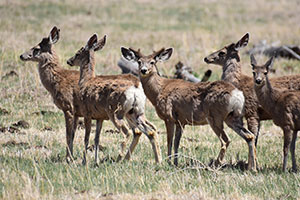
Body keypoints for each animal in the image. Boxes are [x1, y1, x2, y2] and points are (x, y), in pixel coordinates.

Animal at [19, 25, 82, 162]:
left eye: (37, 48)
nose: (21, 55)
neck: (58, 78)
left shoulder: (68, 106)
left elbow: (69, 134)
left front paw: (68, 158)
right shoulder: (75, 112)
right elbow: (72, 134)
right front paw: (71, 157)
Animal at [67, 33, 162, 164]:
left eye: (77, 53)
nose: (69, 61)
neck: (86, 80)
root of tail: (135, 87)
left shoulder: (87, 113)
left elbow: (86, 138)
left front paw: (84, 161)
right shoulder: (100, 117)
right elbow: (97, 138)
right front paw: (96, 161)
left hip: (115, 111)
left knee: (128, 131)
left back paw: (120, 157)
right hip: (136, 111)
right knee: (149, 131)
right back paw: (158, 160)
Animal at [120, 47, 256, 170]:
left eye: (152, 62)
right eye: (139, 61)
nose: (143, 70)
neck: (159, 90)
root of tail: (236, 93)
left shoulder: (168, 117)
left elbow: (169, 141)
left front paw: (168, 162)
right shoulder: (181, 121)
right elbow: (176, 143)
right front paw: (175, 163)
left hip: (215, 117)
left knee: (225, 140)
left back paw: (215, 164)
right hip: (233, 117)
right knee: (249, 136)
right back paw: (252, 168)